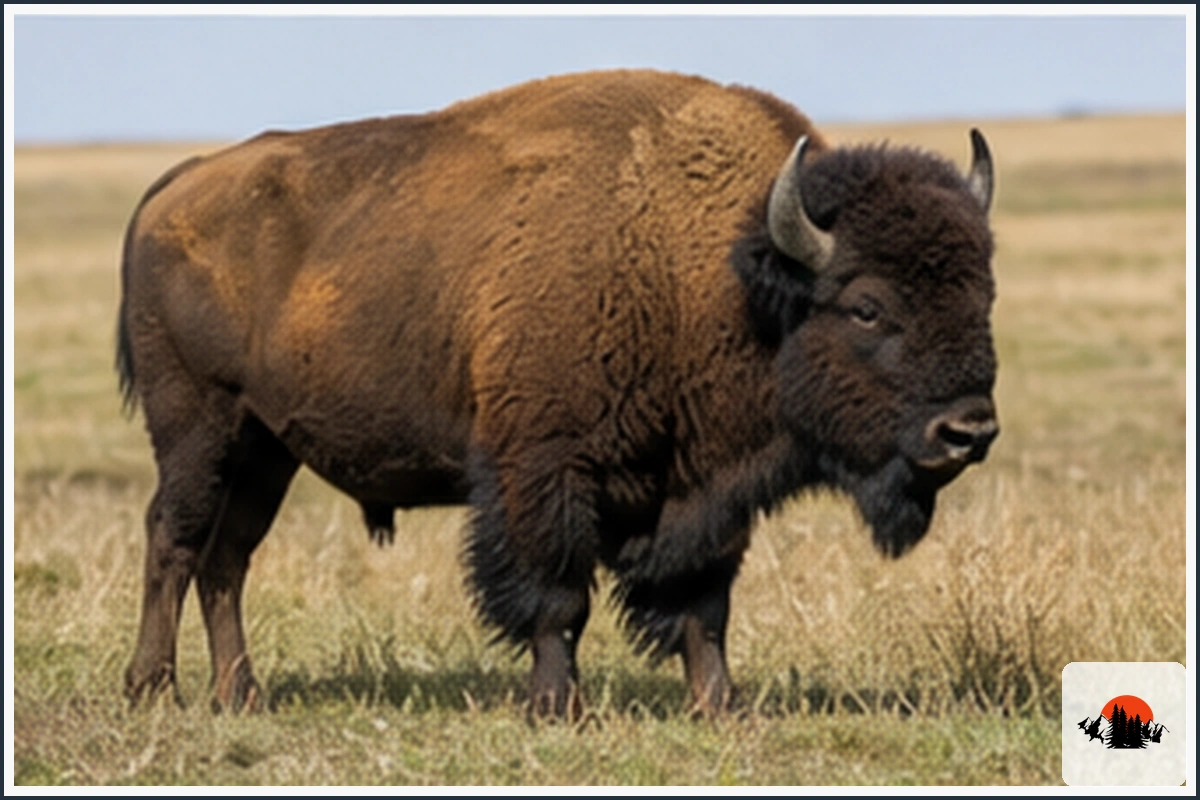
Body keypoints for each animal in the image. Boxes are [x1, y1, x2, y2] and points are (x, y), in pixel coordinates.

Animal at [116, 69, 998, 718]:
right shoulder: (545, 471)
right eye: (867, 306)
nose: (969, 431)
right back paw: (154, 688)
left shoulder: (706, 491)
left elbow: (705, 603)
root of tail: (177, 185)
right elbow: (559, 598)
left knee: (227, 558)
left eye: (983, 293)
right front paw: (555, 707)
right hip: (200, 424)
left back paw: (241, 694)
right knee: (174, 537)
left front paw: (720, 707)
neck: (718, 273)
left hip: (267, 447)